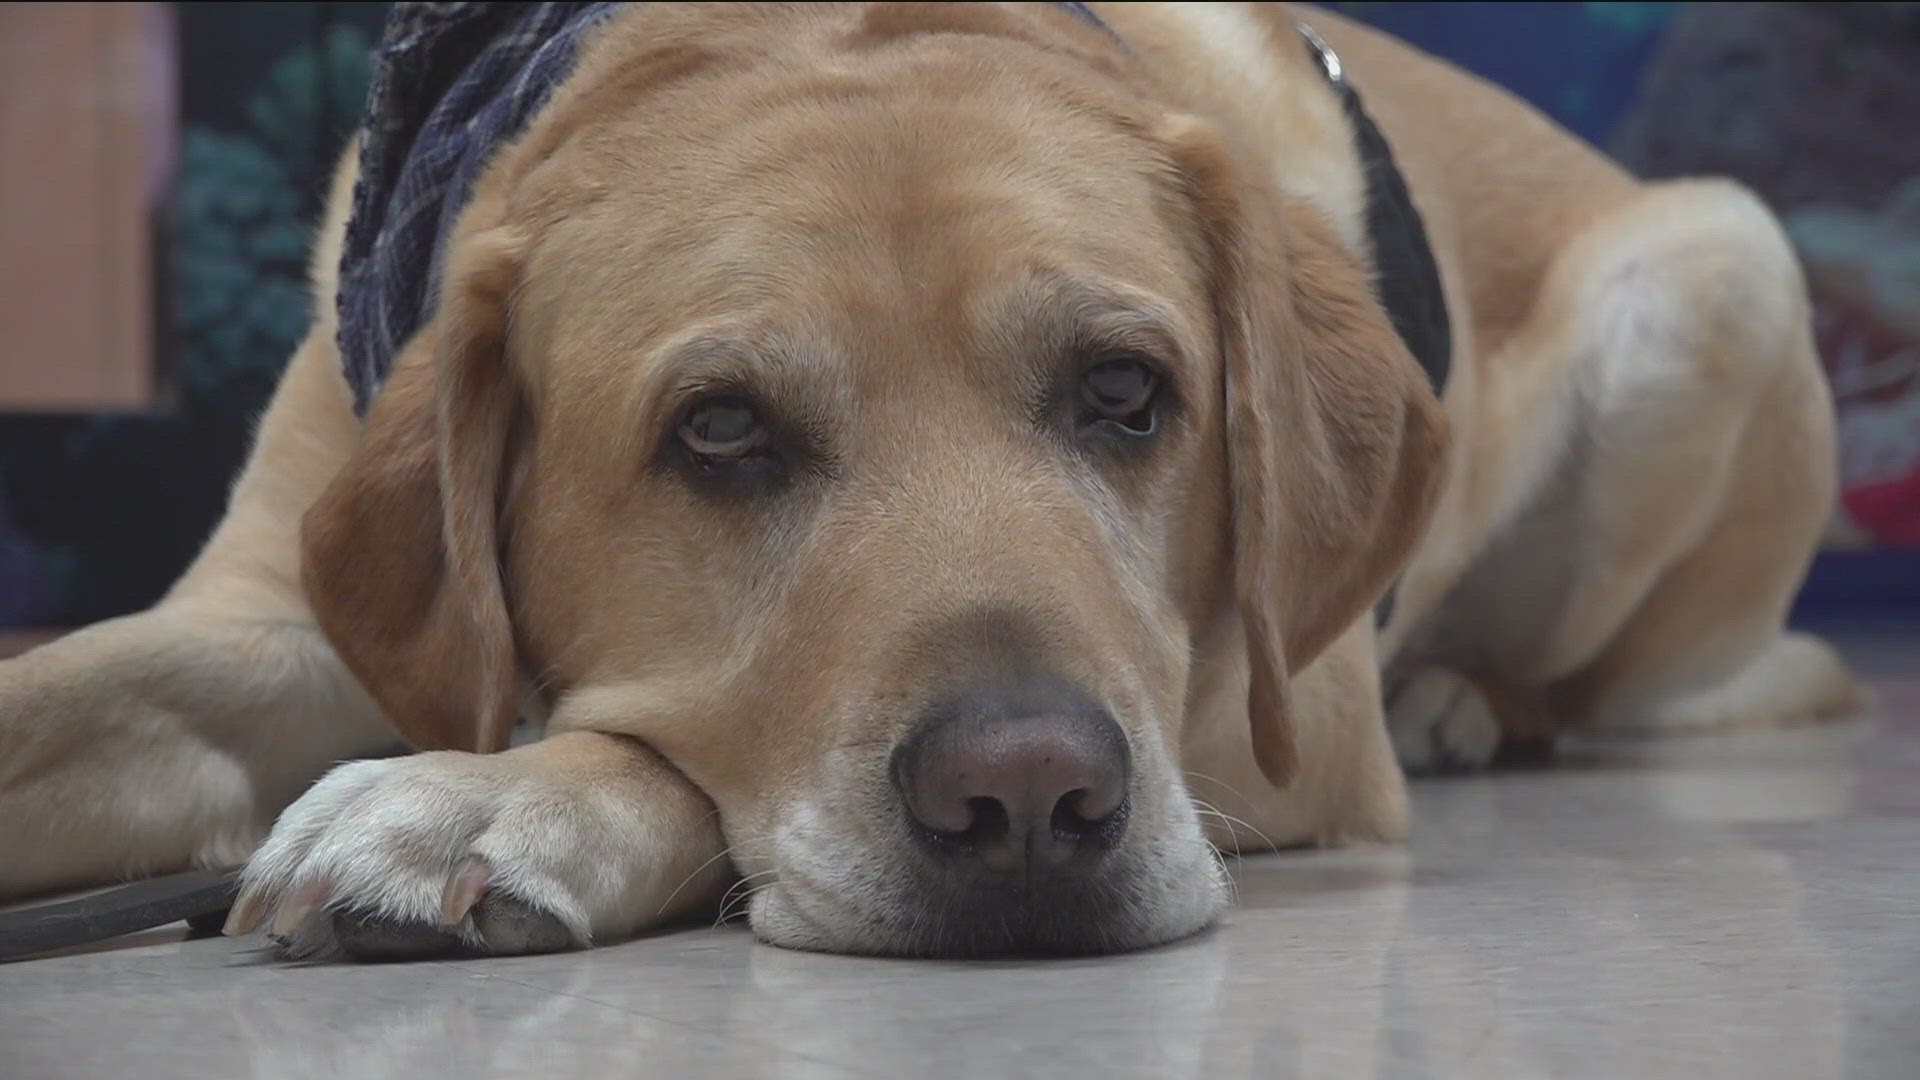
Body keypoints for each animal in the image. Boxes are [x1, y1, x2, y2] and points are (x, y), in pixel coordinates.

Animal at [0, 4, 1858, 953]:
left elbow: (668, 753)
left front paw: (492, 795)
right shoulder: (279, 612)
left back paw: (1469, 698)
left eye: (1126, 393)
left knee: (1606, 690)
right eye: (720, 431)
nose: (1030, 803)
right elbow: (71, 692)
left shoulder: (1269, 713)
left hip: (1722, 263)